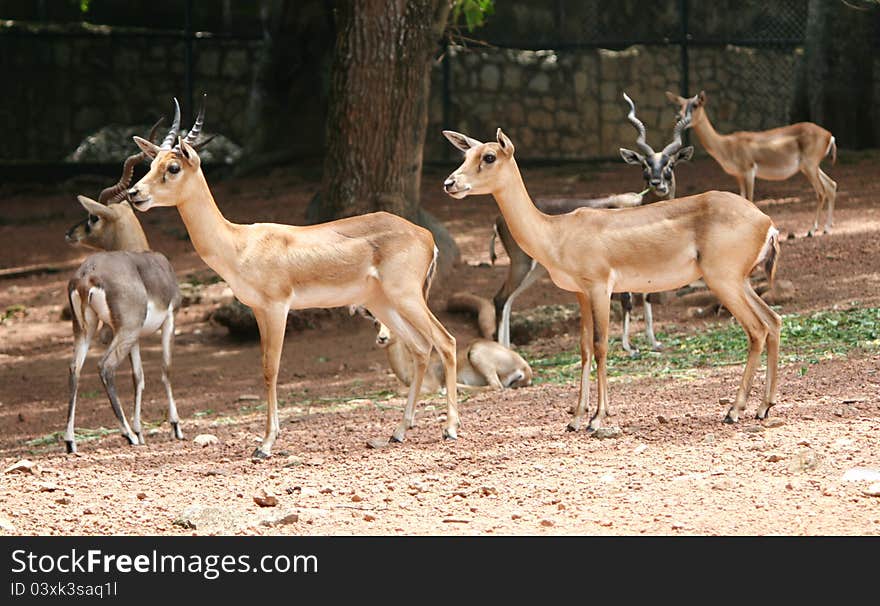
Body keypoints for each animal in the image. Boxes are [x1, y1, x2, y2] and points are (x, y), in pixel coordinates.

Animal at [65, 119, 189, 454]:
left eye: (93, 217)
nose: (70, 233)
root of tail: (87, 275)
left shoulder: (135, 338)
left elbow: (138, 376)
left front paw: (141, 429)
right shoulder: (169, 320)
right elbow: (165, 370)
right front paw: (174, 426)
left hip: (88, 329)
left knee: (75, 368)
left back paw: (70, 441)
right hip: (123, 330)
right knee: (104, 367)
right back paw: (126, 435)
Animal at [131, 96, 464, 456]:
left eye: (173, 167)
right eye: (151, 163)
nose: (135, 193)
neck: (239, 243)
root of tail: (425, 236)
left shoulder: (278, 307)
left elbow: (271, 368)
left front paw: (265, 444)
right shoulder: (258, 310)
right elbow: (265, 367)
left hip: (407, 297)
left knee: (446, 341)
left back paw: (450, 429)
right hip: (383, 303)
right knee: (420, 348)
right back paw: (399, 431)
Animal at [446, 128, 784, 432]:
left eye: (489, 156)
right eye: (465, 155)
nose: (450, 183)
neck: (557, 233)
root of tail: (766, 221)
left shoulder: (600, 288)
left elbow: (601, 346)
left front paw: (597, 418)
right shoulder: (580, 294)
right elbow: (584, 349)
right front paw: (575, 419)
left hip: (723, 281)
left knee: (756, 329)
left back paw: (734, 411)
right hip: (740, 282)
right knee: (773, 320)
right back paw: (763, 408)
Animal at [492, 91, 692, 356]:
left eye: (670, 164)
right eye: (645, 164)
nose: (657, 182)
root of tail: (499, 218)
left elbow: (647, 296)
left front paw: (654, 342)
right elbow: (627, 301)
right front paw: (629, 347)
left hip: (537, 269)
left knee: (510, 300)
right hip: (522, 264)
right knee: (500, 299)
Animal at [668, 90, 840, 238]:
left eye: (695, 105)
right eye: (681, 105)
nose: (678, 117)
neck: (727, 144)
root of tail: (829, 135)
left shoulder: (749, 171)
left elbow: (749, 199)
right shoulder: (738, 175)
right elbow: (741, 199)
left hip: (810, 166)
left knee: (821, 191)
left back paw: (812, 230)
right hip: (810, 167)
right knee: (831, 185)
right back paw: (827, 228)